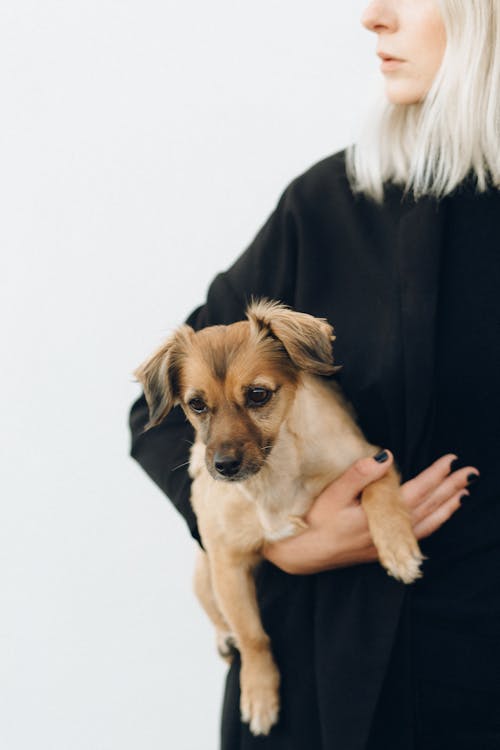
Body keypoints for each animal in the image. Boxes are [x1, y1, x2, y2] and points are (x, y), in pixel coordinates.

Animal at [136, 302, 422, 736]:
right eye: (196, 404)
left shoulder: (372, 459)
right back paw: (224, 638)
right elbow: (253, 636)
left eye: (258, 395)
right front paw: (259, 693)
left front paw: (398, 548)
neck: (273, 475)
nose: (223, 466)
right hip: (204, 572)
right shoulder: (227, 563)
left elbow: (378, 492)